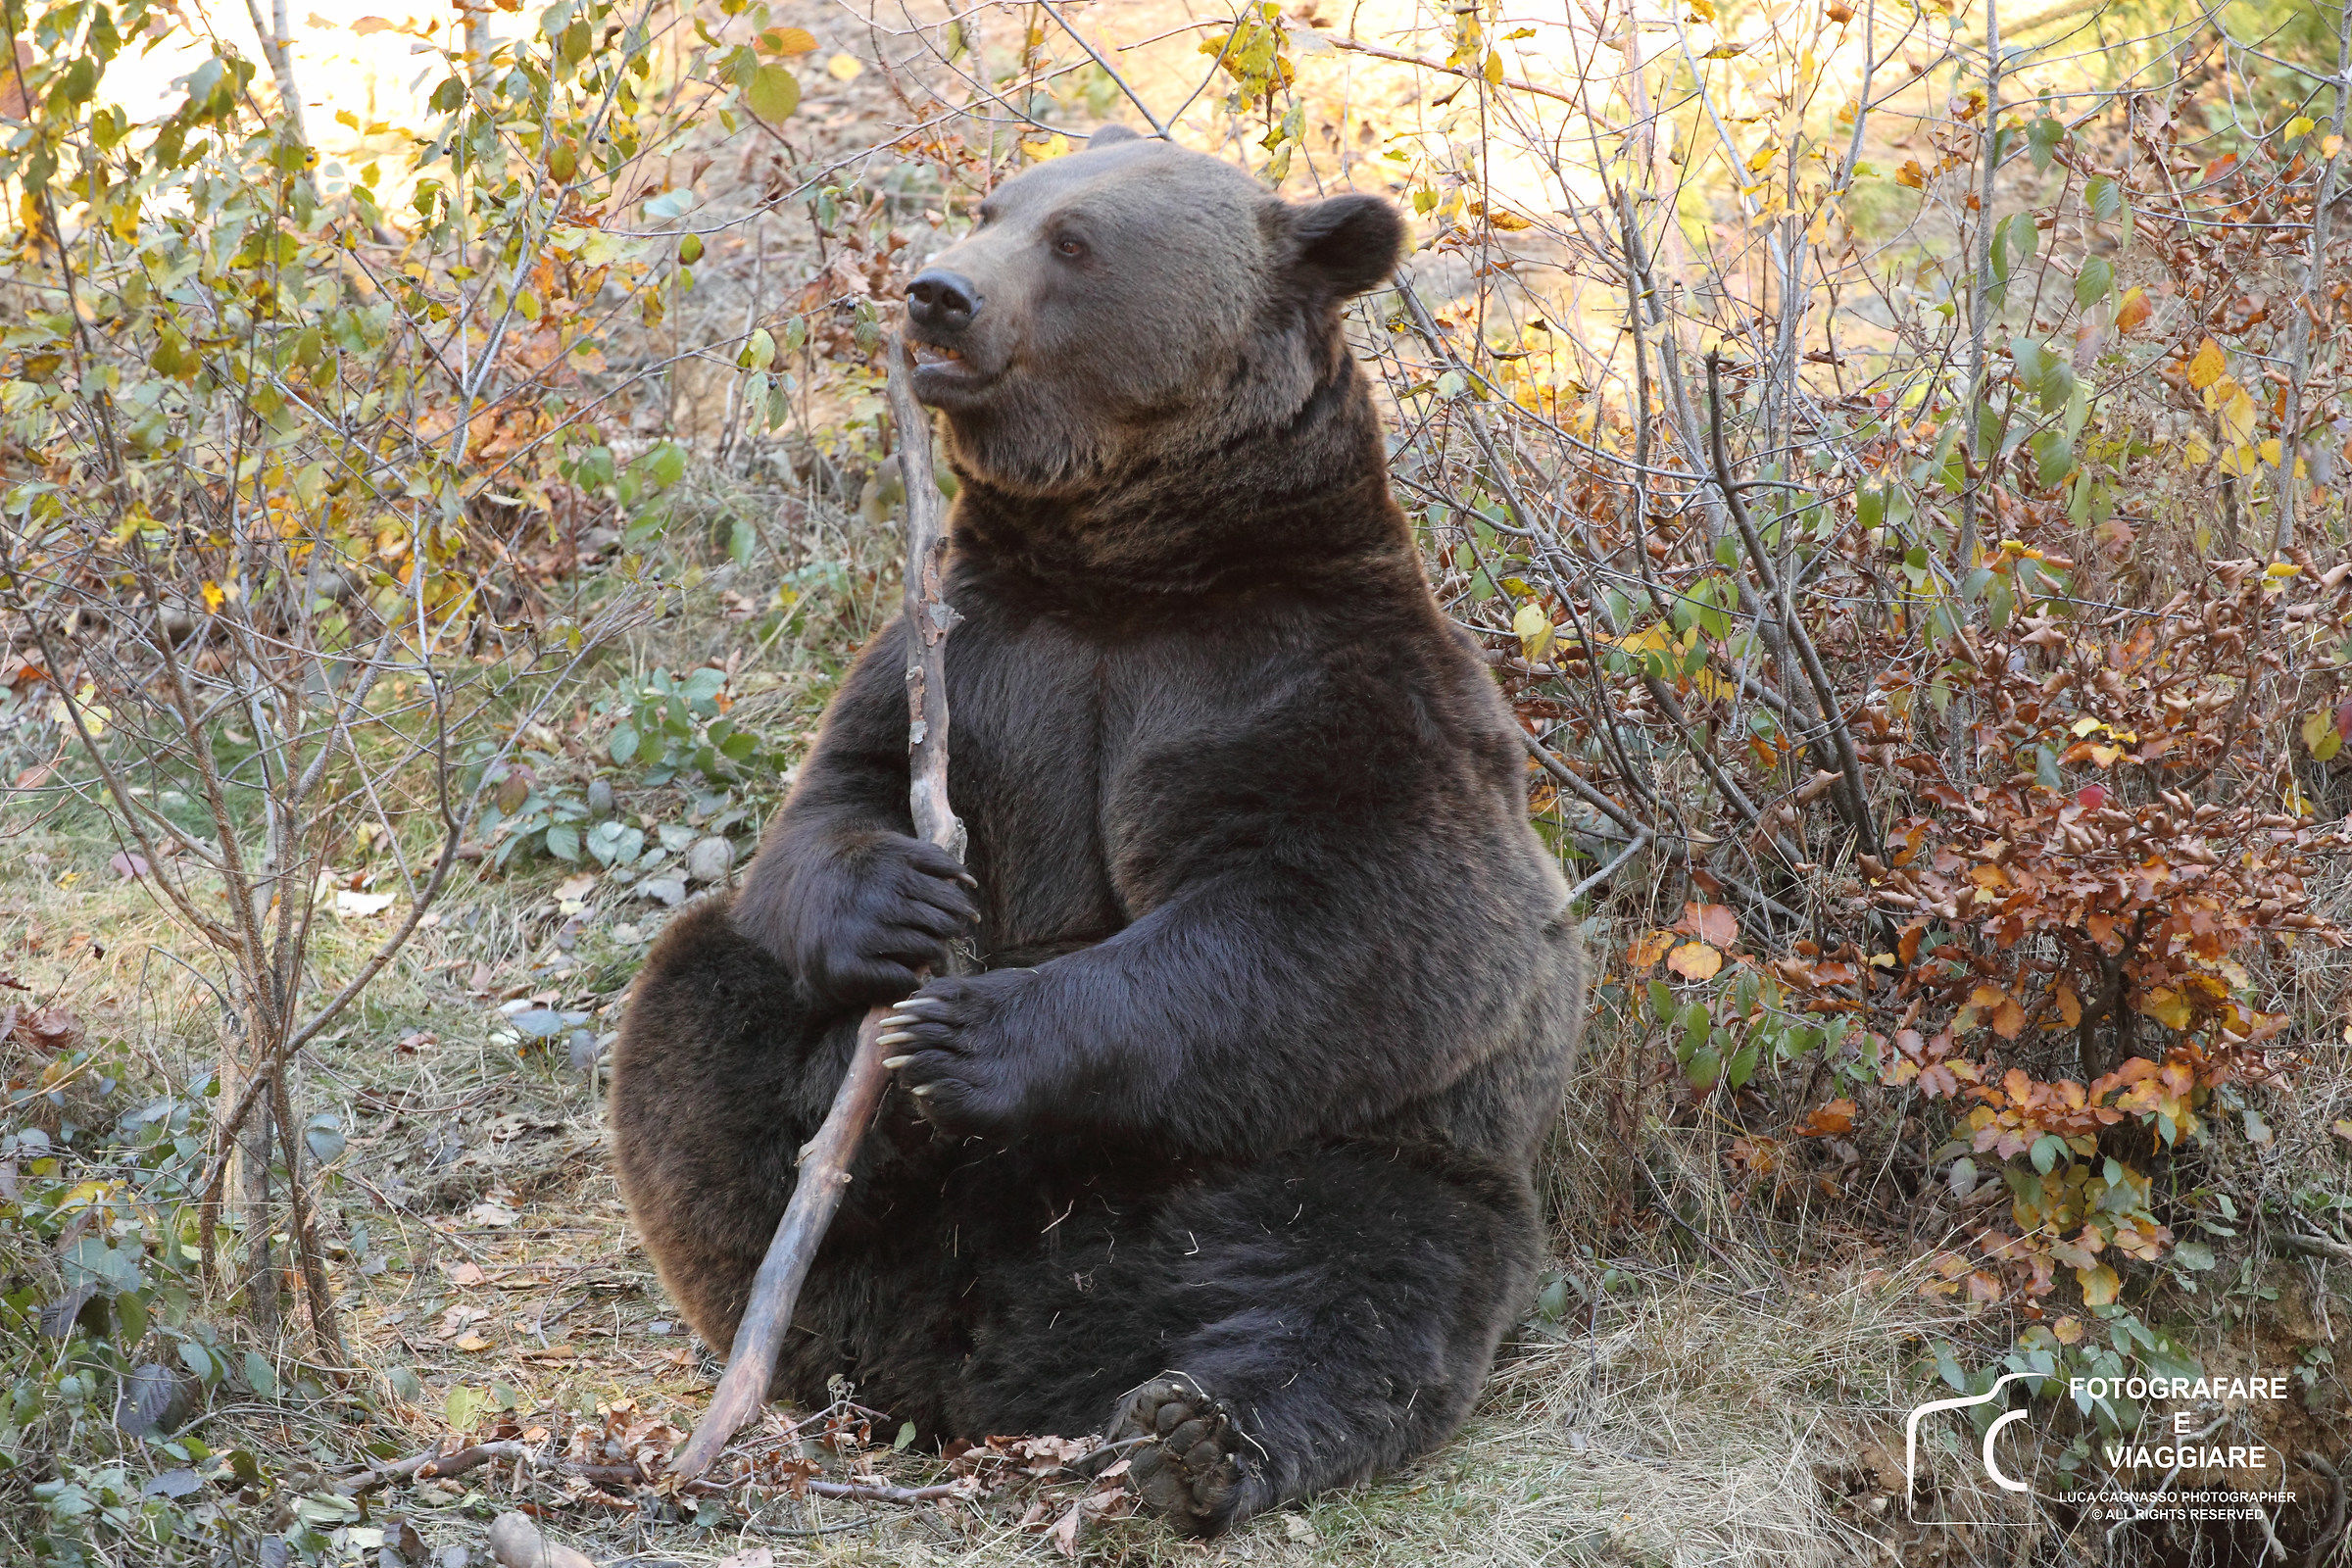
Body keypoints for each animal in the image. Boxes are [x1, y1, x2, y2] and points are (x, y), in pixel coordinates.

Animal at [610, 125, 1585, 1537]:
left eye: (1074, 242)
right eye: (990, 204)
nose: (936, 294)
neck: (1123, 571)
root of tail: (974, 1363)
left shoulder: (1325, 683)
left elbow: (1349, 921)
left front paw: (974, 1033)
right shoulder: (966, 653)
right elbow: (832, 801)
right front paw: (895, 911)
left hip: (1364, 1157)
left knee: (1358, 1273)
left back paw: (1193, 1432)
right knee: (697, 1010)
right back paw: (841, 1171)